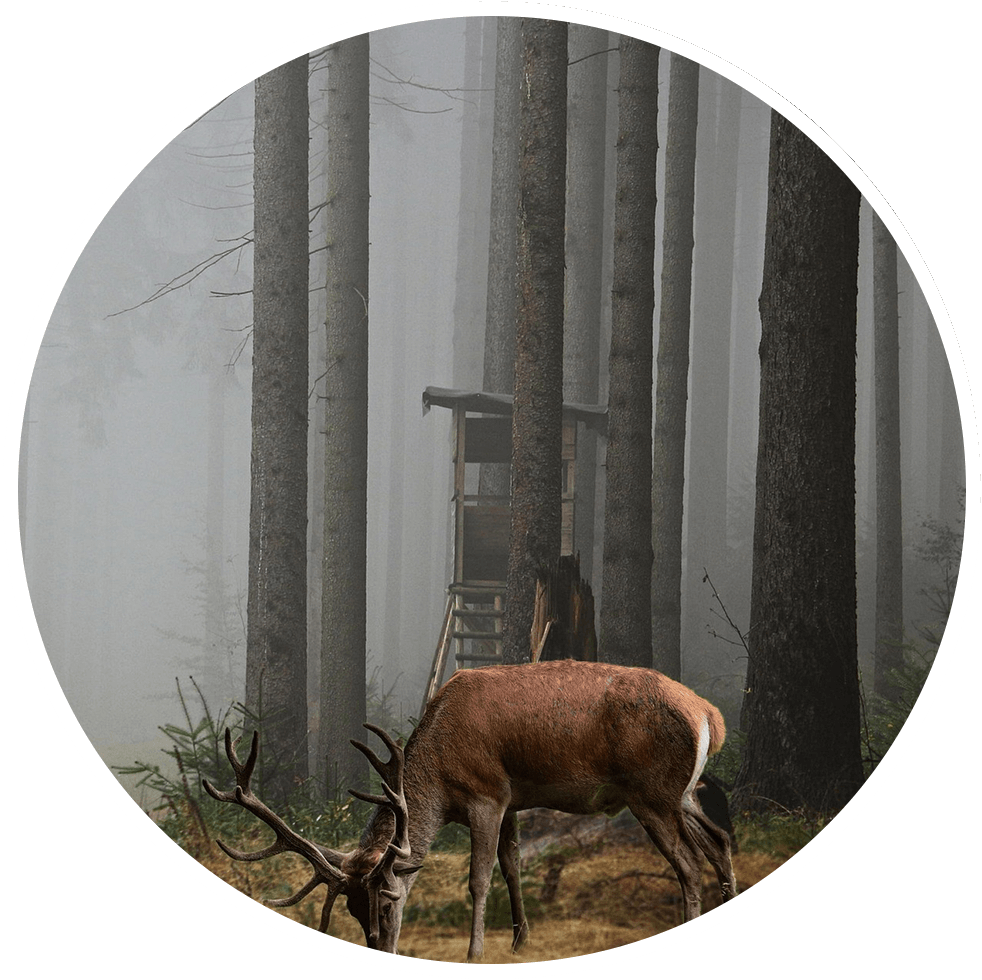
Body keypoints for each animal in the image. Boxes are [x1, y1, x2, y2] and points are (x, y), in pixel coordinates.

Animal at [203, 659, 736, 961]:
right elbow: (513, 864)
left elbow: (480, 877)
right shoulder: (512, 798)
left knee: (689, 863)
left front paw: (475, 952)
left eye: (387, 901)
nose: (381, 946)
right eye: (352, 910)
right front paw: (520, 941)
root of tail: (710, 715)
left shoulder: (486, 794)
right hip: (682, 794)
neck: (440, 780)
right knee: (720, 840)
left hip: (651, 793)